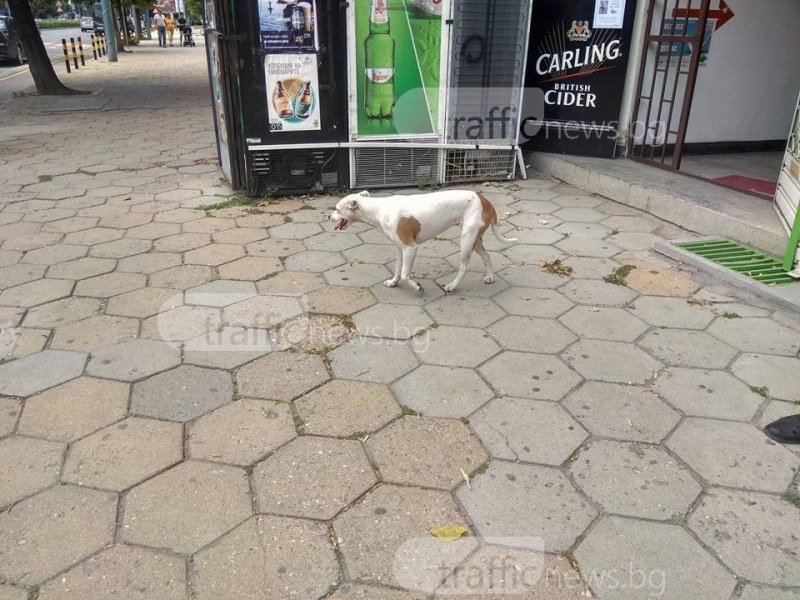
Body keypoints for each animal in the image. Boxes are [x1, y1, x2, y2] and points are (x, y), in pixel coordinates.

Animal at [332, 190, 520, 292]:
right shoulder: (400, 249)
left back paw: (452, 286)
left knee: (464, 267)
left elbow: (405, 274)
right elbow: (398, 270)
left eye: (337, 209)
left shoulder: (410, 248)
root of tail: (485, 200)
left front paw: (417, 287)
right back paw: (490, 277)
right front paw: (393, 282)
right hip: (475, 240)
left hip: (466, 241)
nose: (329, 217)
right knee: (487, 256)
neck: (378, 209)